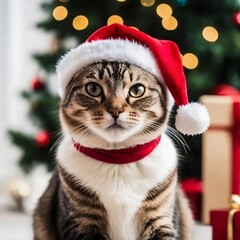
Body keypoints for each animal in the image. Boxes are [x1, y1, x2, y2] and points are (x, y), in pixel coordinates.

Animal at [32, 61, 193, 239]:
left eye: (137, 90)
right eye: (93, 88)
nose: (115, 110)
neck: (118, 159)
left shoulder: (161, 219)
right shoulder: (79, 223)